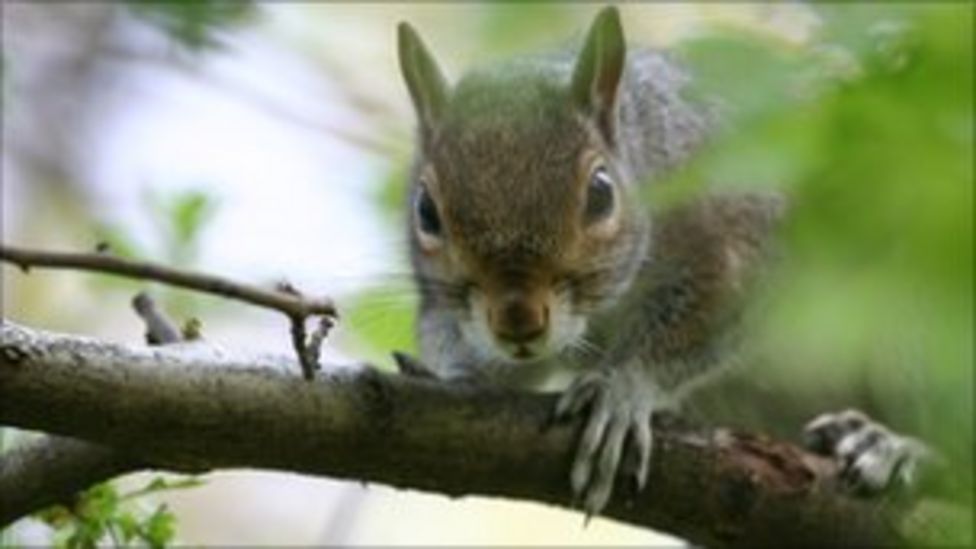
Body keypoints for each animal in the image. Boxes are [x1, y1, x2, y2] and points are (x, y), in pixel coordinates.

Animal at [395, 6, 932, 516]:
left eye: (601, 194)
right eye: (425, 211)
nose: (518, 321)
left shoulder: (741, 242)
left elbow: (704, 319)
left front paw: (620, 390)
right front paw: (457, 374)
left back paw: (896, 447)